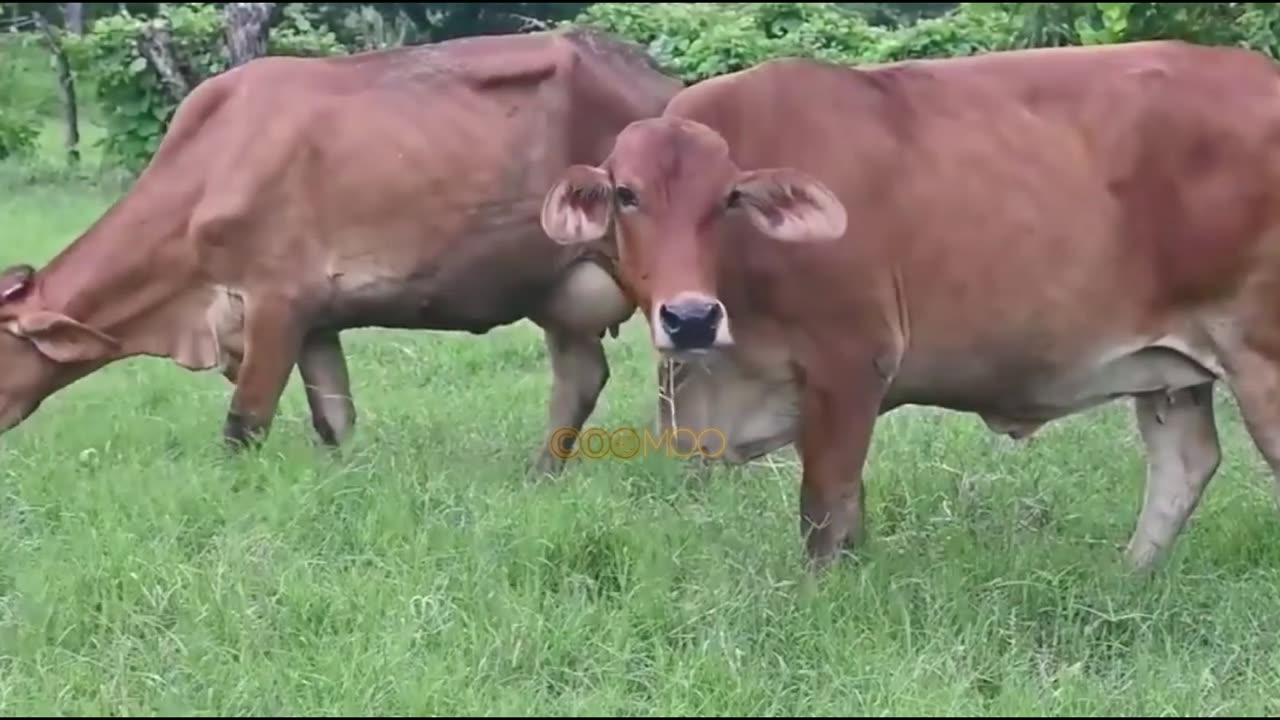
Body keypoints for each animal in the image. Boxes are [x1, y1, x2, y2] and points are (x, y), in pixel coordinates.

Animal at [0, 28, 686, 474]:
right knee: (581, 375)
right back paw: (540, 474)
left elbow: (245, 424)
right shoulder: (314, 320)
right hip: (556, 286)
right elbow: (334, 418)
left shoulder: (275, 301)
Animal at [540, 39, 1280, 568]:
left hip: (1260, 354)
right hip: (1173, 368)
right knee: (1184, 464)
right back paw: (1129, 577)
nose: (691, 318)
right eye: (626, 194)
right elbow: (850, 515)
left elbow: (825, 510)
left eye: (727, 200)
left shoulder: (849, 364)